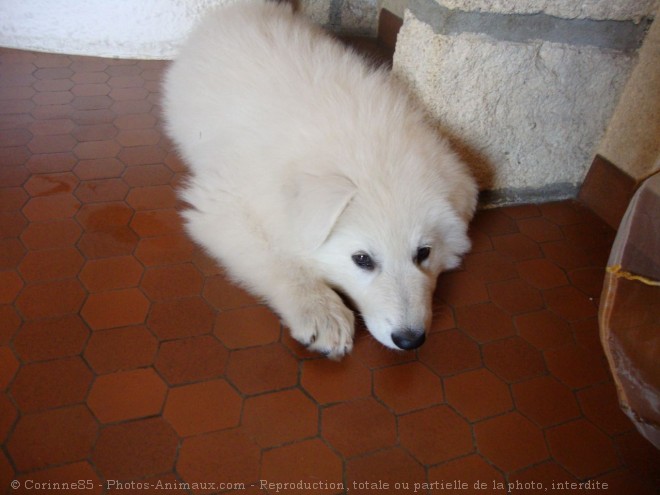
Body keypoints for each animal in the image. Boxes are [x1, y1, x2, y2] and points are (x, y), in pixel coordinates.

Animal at [162, 0, 476, 358]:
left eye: (424, 252)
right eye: (362, 259)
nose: (410, 340)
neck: (365, 146)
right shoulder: (221, 203)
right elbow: (278, 258)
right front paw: (321, 312)